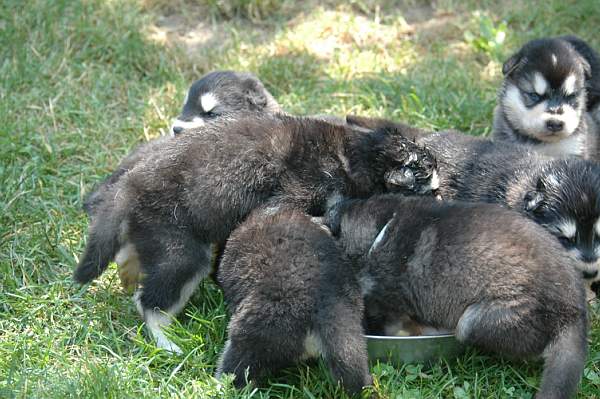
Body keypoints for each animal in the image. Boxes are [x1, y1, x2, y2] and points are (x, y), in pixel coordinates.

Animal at [74, 111, 436, 354]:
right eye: (430, 187)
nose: (442, 200)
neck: (355, 155)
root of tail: (129, 186)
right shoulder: (292, 195)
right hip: (183, 255)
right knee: (150, 304)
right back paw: (170, 343)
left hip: (158, 237)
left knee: (130, 257)